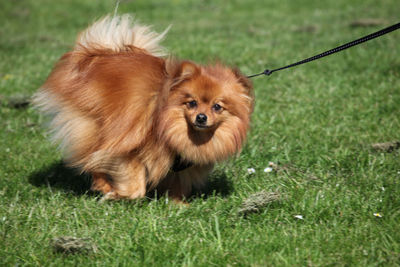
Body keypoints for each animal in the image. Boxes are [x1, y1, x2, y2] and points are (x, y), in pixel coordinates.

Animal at [33, 14, 253, 201]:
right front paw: (121, 194)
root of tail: (94, 54)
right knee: (91, 156)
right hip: (94, 124)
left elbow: (177, 185)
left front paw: (179, 206)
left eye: (217, 107)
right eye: (192, 103)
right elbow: (134, 183)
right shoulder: (128, 147)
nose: (201, 117)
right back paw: (103, 186)